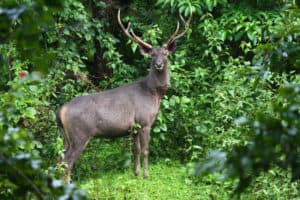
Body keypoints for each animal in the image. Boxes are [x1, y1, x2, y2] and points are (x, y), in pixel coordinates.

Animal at [56, 7, 192, 183]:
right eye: (152, 55)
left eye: (165, 53)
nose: (158, 64)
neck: (153, 93)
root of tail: (61, 111)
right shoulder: (145, 121)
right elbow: (146, 150)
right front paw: (147, 175)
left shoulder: (133, 127)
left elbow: (136, 150)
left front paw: (136, 173)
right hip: (80, 133)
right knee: (67, 162)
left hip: (66, 136)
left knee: (59, 160)